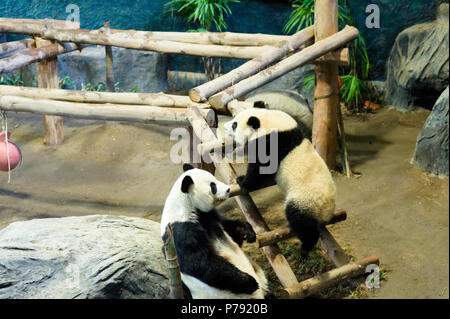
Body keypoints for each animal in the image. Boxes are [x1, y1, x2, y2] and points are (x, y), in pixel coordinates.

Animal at [160, 165, 268, 300]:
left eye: (214, 179)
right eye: (213, 186)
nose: (228, 189)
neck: (185, 204)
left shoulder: (209, 215)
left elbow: (228, 227)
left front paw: (246, 232)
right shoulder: (180, 231)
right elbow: (199, 262)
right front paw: (249, 282)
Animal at [223, 106, 336, 258]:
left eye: (235, 125)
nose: (225, 127)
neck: (269, 123)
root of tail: (327, 211)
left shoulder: (270, 145)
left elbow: (259, 169)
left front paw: (242, 180)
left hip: (305, 199)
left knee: (300, 220)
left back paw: (305, 247)